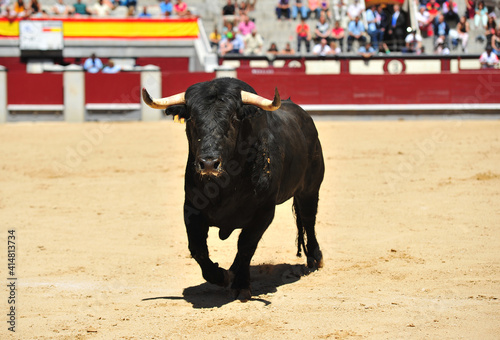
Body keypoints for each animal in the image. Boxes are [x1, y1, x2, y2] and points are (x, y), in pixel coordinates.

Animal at [143, 77, 326, 300]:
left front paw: (241, 285)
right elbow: (197, 248)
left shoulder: (264, 211)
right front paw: (222, 276)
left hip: (310, 189)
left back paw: (315, 259)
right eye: (192, 119)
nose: (209, 163)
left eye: (233, 119)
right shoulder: (191, 208)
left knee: (308, 219)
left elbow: (246, 245)